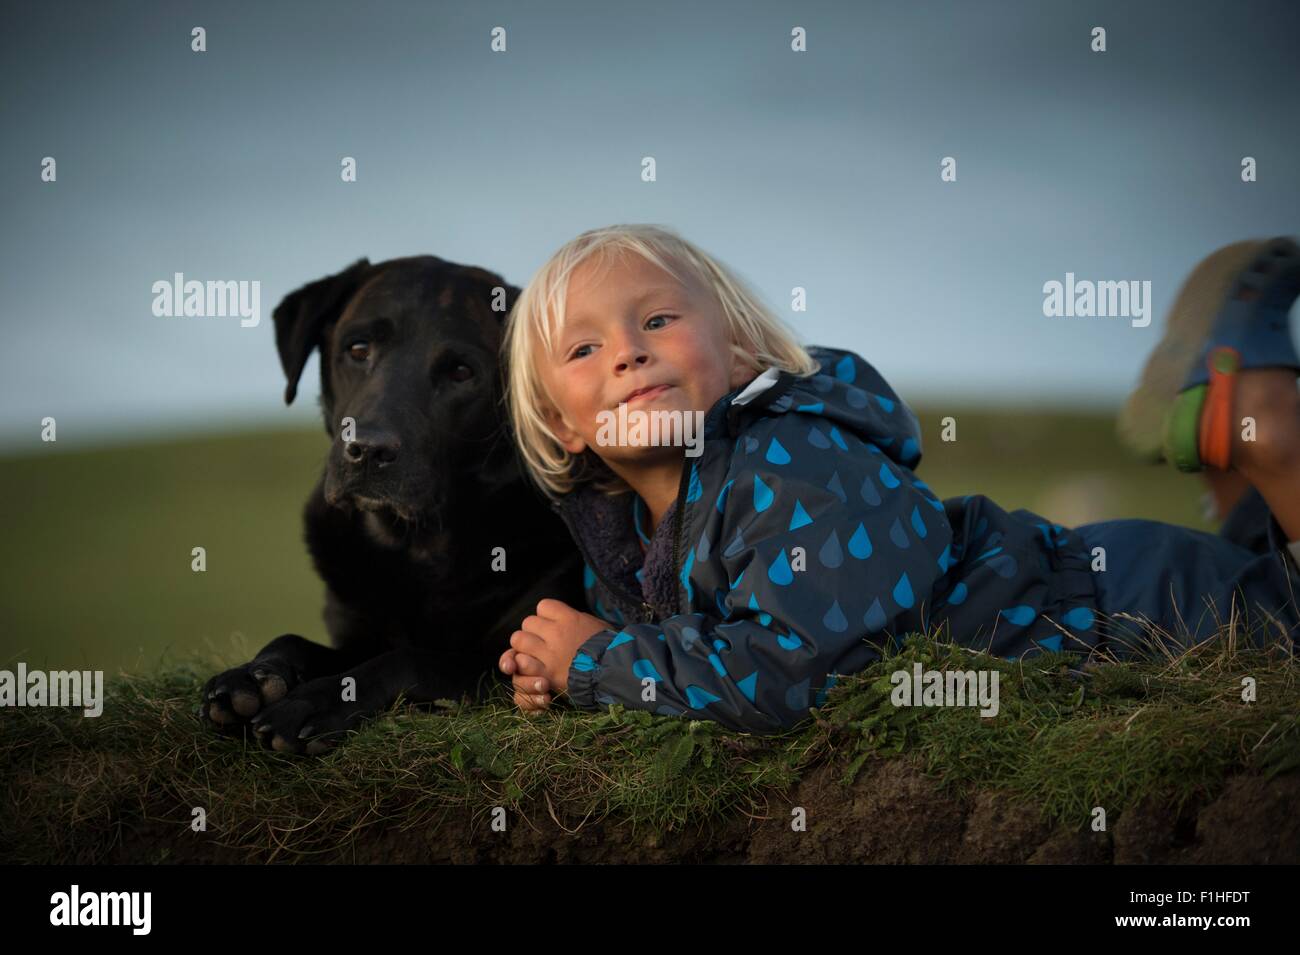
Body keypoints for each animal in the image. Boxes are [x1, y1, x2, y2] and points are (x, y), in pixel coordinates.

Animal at [198, 255, 585, 753]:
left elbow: (411, 658)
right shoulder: (355, 632)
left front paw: (316, 701)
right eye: (358, 348)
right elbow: (296, 640)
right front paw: (253, 675)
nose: (367, 449)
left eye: (461, 372)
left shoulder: (522, 664)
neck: (412, 546)